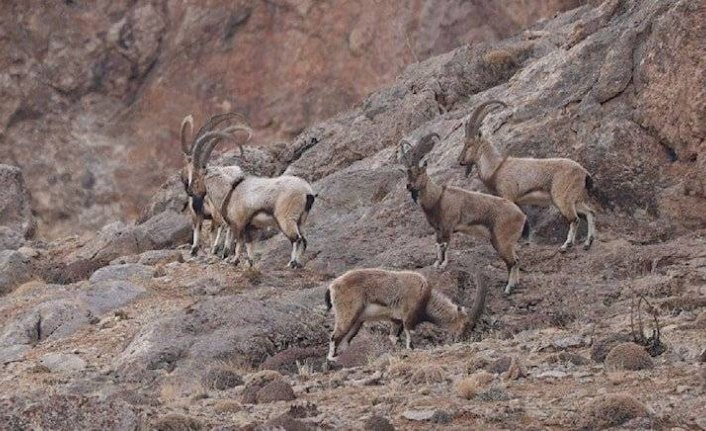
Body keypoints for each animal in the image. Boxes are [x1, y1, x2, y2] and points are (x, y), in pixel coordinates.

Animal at [191, 124, 314, 270]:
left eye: (196, 177)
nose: (191, 192)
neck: (229, 191)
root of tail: (307, 192)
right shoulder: (250, 226)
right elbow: (249, 244)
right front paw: (249, 263)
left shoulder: (238, 223)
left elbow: (239, 243)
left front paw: (234, 261)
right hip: (301, 220)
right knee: (304, 240)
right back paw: (299, 263)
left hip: (286, 219)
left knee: (296, 239)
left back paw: (291, 263)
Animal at [324, 270, 484, 362]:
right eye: (466, 325)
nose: (464, 340)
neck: (426, 297)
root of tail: (332, 286)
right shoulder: (408, 316)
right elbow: (409, 334)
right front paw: (410, 350)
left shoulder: (396, 320)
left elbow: (393, 337)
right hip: (347, 314)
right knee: (334, 336)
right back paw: (331, 359)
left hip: (357, 322)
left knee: (345, 341)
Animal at [398, 133, 524, 296]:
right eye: (407, 173)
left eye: (420, 171)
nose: (409, 186)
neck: (437, 198)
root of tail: (522, 216)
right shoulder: (438, 229)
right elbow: (438, 245)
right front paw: (436, 263)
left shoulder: (447, 227)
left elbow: (445, 245)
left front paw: (443, 265)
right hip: (505, 242)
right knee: (516, 260)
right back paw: (515, 284)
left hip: (501, 240)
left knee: (512, 262)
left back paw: (508, 289)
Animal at [456, 100, 592, 251]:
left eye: (469, 144)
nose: (460, 160)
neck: (496, 167)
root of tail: (584, 173)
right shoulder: (518, 201)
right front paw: (526, 241)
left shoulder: (508, 195)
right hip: (574, 199)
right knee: (589, 212)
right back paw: (587, 243)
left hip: (562, 198)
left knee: (575, 219)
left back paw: (566, 245)